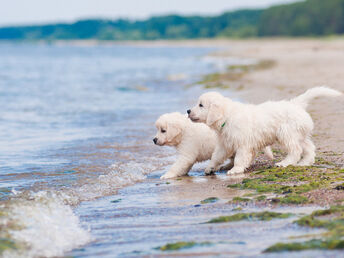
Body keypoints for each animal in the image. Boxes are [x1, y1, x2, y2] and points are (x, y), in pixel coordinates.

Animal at [188, 86, 342, 175]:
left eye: (201, 105)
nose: (188, 111)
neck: (228, 116)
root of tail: (296, 104)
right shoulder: (224, 144)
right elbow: (217, 156)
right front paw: (210, 168)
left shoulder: (243, 144)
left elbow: (239, 158)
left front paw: (235, 169)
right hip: (298, 133)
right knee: (309, 147)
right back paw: (305, 163)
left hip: (286, 133)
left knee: (295, 150)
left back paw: (284, 163)